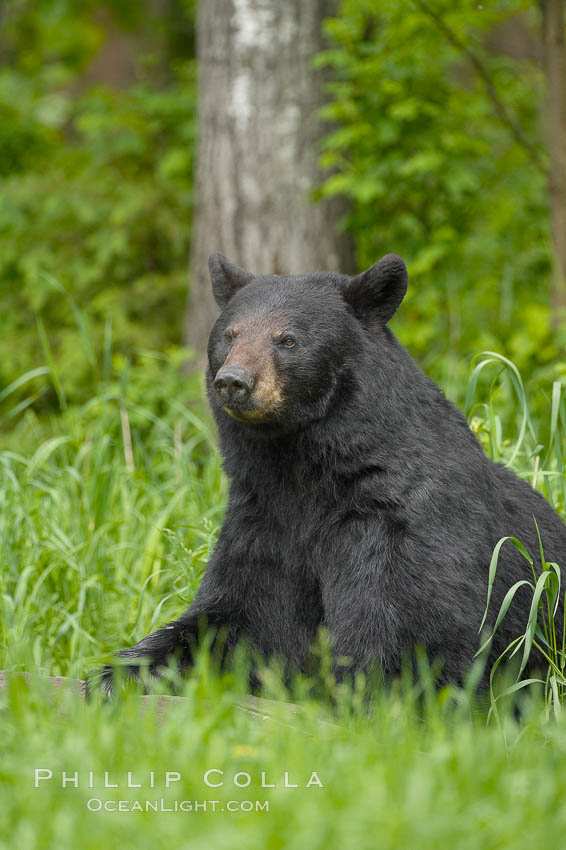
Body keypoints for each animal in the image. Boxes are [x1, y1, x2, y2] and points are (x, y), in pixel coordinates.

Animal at [100, 252, 566, 688]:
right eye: (229, 336)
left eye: (287, 339)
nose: (233, 381)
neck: (302, 469)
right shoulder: (263, 523)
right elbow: (232, 616)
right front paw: (115, 676)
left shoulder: (399, 524)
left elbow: (408, 627)